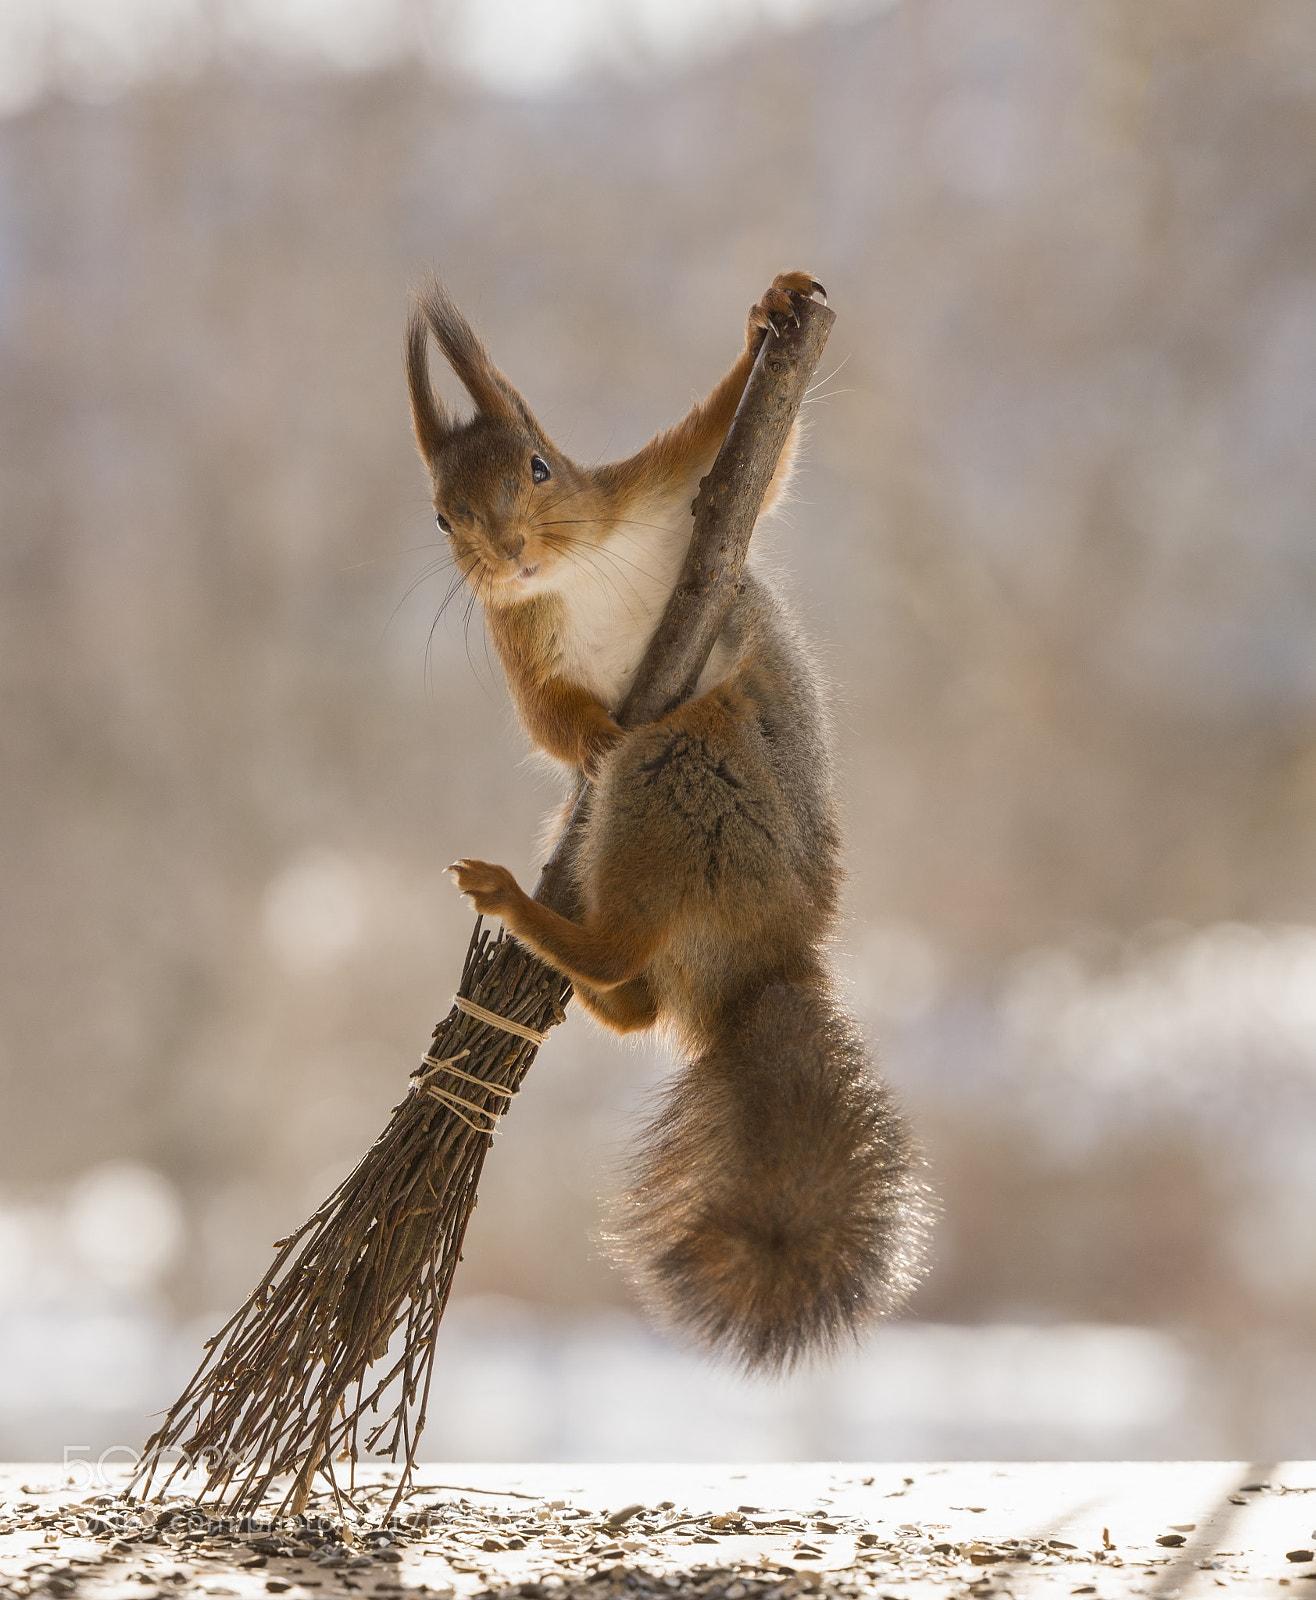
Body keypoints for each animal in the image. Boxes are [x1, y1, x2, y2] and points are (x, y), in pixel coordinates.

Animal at [405, 271, 928, 1373]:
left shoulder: (667, 501)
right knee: (633, 990)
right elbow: (547, 724)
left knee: (622, 941)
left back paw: (517, 902)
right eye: (439, 517)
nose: (506, 555)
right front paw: (585, 729)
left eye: (540, 465)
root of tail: (764, 957)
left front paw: (772, 311)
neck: (568, 571)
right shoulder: (517, 641)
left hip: (684, 764)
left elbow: (746, 460)